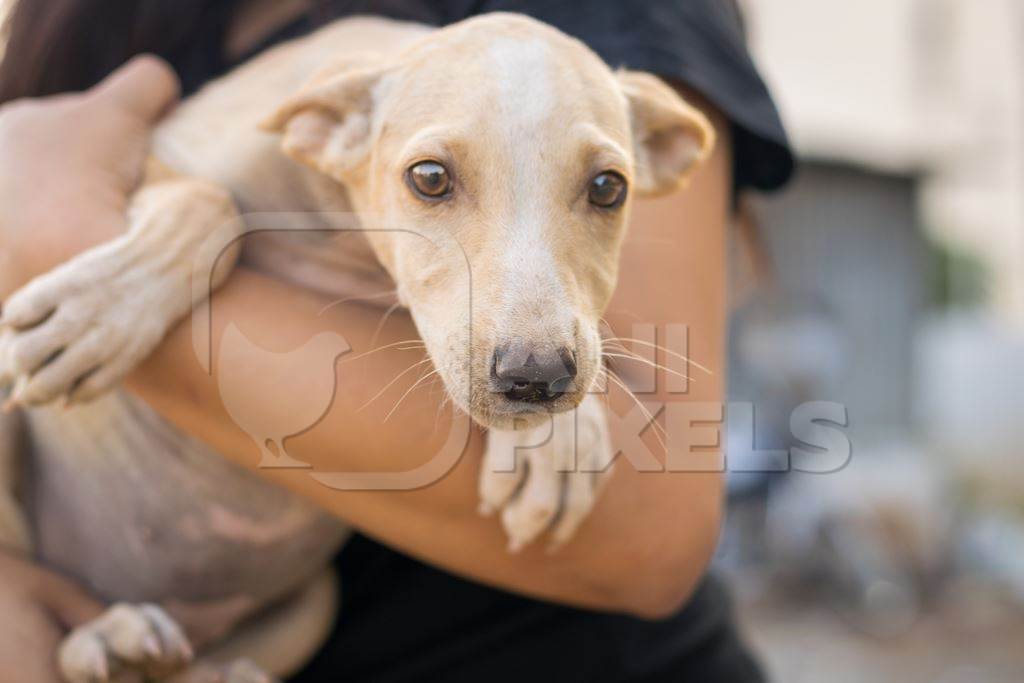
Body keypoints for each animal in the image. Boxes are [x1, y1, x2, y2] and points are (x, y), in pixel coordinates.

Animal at [0, 12, 712, 683]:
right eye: (429, 178)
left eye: (608, 188)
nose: (534, 378)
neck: (333, 228)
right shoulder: (155, 148)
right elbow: (208, 201)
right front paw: (98, 307)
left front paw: (560, 441)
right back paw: (105, 636)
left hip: (315, 605)